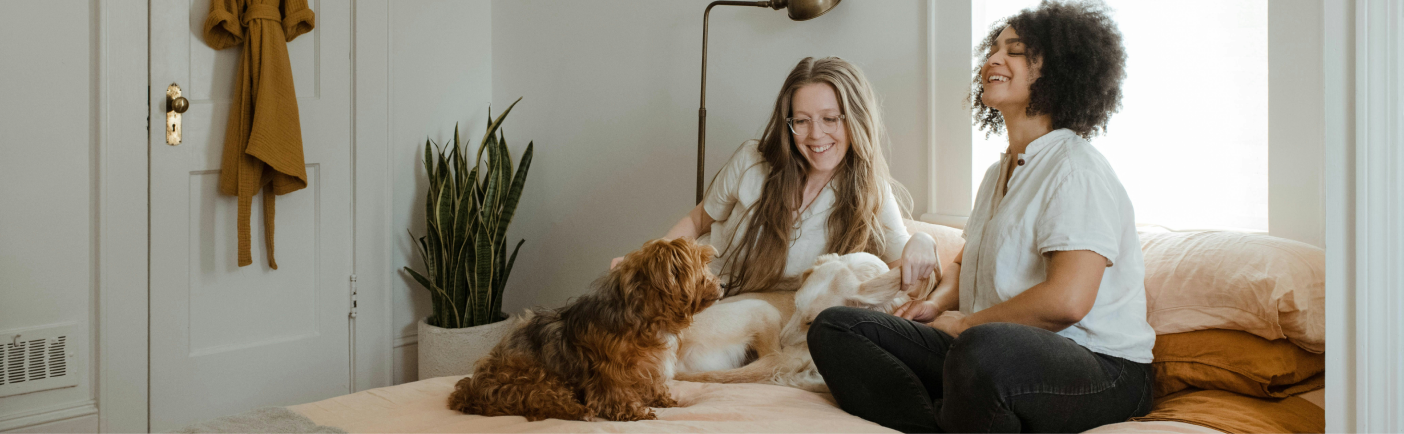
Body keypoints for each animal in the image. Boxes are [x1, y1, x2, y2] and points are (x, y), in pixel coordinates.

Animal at [446, 235, 718, 418]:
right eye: (701, 267)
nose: (723, 284)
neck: (646, 318)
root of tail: (471, 389)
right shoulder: (609, 369)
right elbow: (616, 390)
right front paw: (632, 410)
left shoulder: (647, 365)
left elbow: (652, 383)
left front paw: (662, 399)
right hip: (533, 378)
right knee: (543, 401)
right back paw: (578, 410)